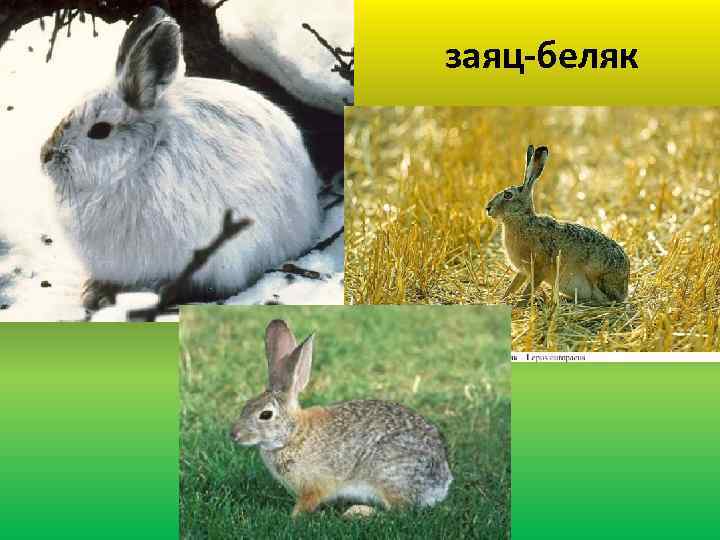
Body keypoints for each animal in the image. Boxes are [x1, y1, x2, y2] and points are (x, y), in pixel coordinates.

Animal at [230, 319, 453, 517]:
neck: (293, 435)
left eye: (265, 415)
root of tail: (441, 481)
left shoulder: (315, 485)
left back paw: (358, 512)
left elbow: (307, 503)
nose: (234, 434)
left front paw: (293, 516)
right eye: (245, 405)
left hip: (388, 474)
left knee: (398, 510)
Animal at [485, 145, 629, 306]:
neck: (522, 219)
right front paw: (502, 299)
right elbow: (513, 285)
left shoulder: (539, 267)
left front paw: (518, 305)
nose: (488, 208)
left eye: (508, 195)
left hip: (597, 275)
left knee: (606, 299)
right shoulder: (523, 270)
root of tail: (625, 287)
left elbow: (529, 289)